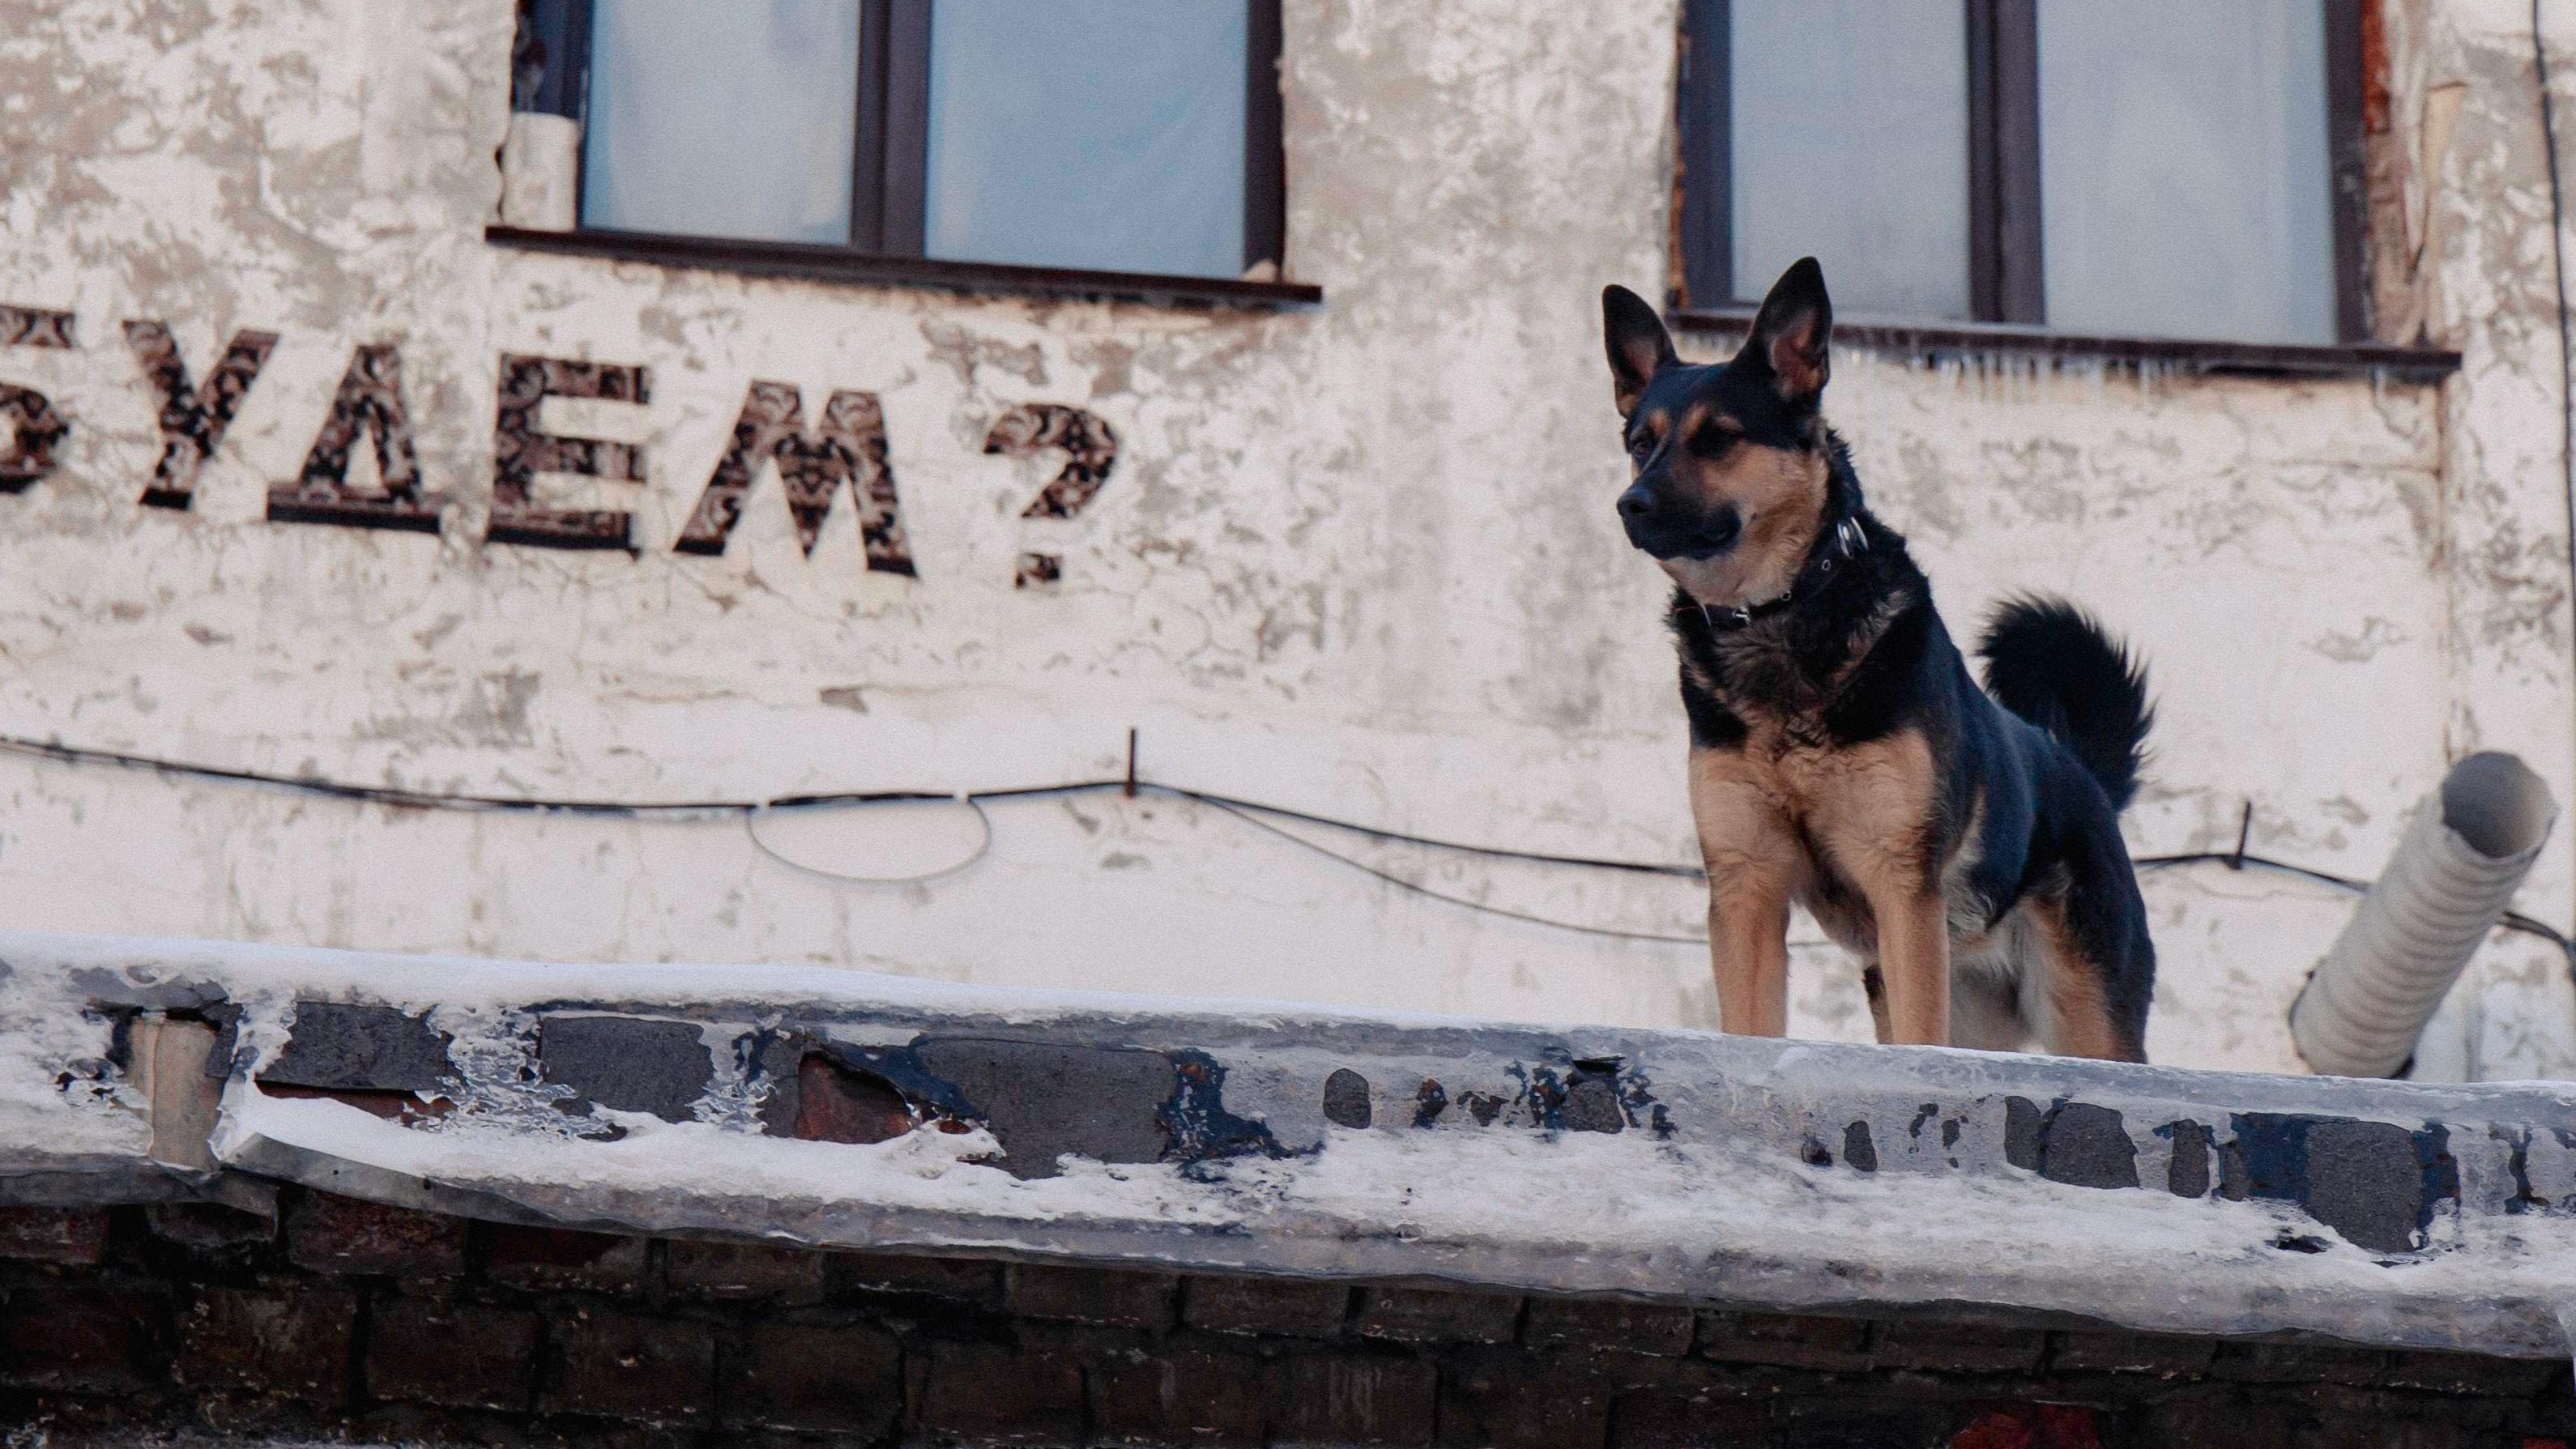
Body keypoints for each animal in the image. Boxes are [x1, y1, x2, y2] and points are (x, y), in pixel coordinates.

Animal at [1597, 254, 2164, 1060]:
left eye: (1719, 439)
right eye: (1641, 443)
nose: (1631, 505)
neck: (1781, 610)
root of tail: (2082, 776)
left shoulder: (1901, 888)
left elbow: (1920, 1038)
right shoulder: (1747, 889)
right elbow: (1749, 1023)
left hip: (2085, 1016)